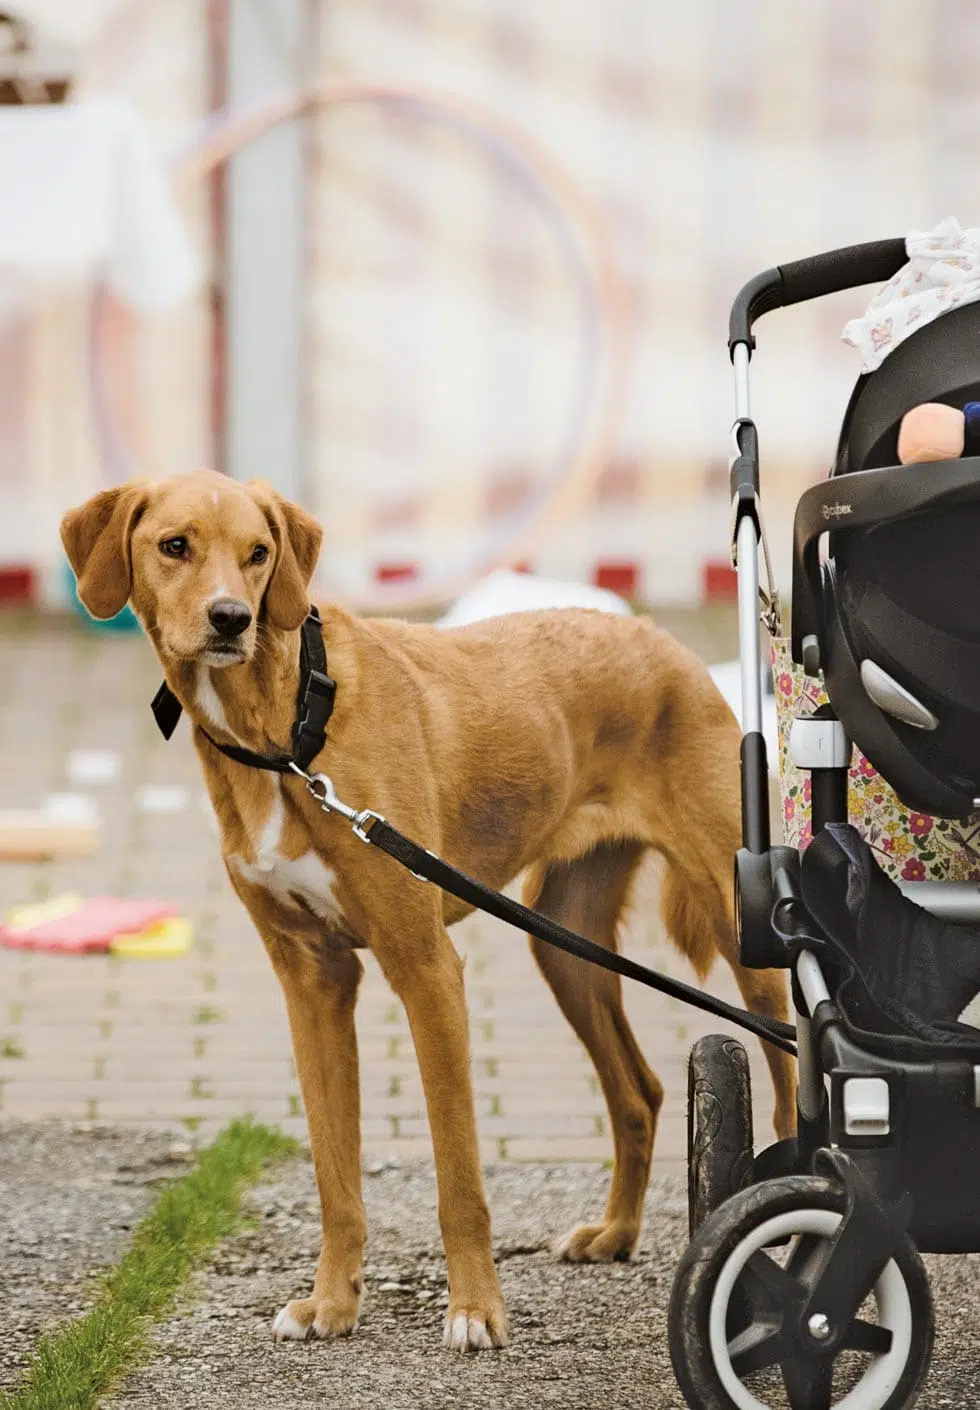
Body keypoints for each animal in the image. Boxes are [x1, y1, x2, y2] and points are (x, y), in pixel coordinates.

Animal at [63, 470, 795, 1353]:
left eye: (258, 553)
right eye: (175, 546)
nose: (232, 617)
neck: (291, 729)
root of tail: (665, 642)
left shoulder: (425, 970)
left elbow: (459, 1177)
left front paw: (477, 1310)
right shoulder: (313, 981)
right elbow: (335, 1175)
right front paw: (332, 1303)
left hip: (740, 923)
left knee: (790, 1076)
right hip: (566, 947)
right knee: (640, 1092)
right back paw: (616, 1231)